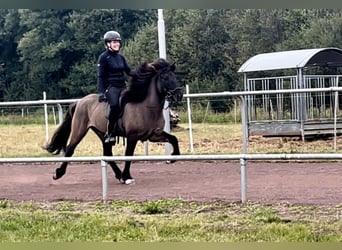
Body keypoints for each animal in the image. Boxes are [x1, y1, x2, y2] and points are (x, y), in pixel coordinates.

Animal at [43, 58, 183, 184]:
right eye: (165, 77)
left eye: (174, 76)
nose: (179, 95)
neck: (146, 106)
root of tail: (80, 101)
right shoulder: (132, 136)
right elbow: (128, 155)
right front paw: (127, 177)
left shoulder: (154, 135)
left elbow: (174, 138)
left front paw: (172, 158)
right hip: (79, 130)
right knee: (70, 149)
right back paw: (58, 173)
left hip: (102, 134)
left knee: (107, 154)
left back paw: (118, 175)